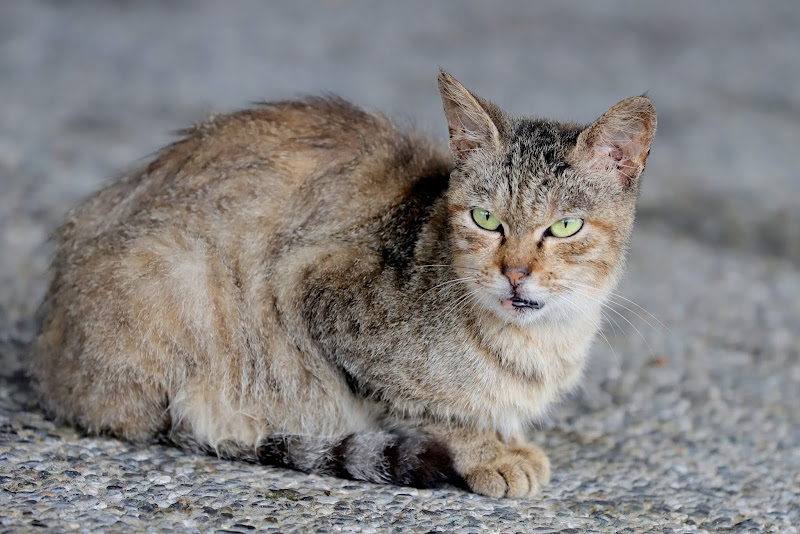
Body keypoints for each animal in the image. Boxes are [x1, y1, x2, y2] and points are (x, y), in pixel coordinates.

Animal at [31, 70, 656, 498]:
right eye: (485, 219)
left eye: (565, 226)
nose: (515, 272)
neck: (541, 344)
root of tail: (55, 373)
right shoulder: (307, 286)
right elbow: (427, 410)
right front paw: (487, 452)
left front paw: (509, 439)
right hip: (180, 275)